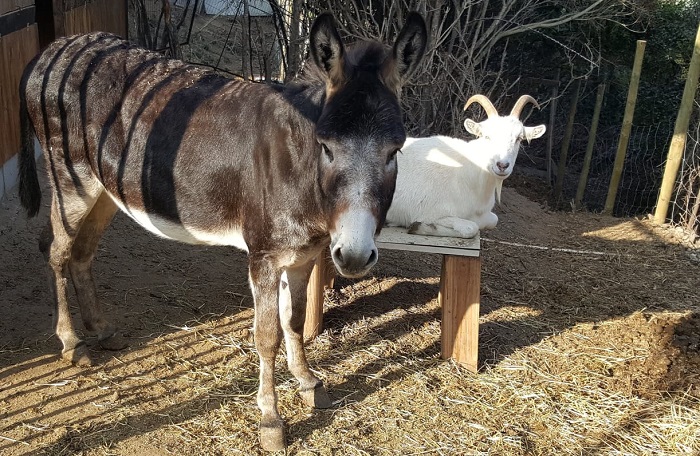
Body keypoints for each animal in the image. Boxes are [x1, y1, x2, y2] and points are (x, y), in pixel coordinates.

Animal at [388, 93, 548, 239]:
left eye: (519, 138)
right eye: (486, 136)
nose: (502, 165)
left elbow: (493, 220)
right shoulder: (430, 212)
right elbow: (471, 228)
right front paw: (419, 227)